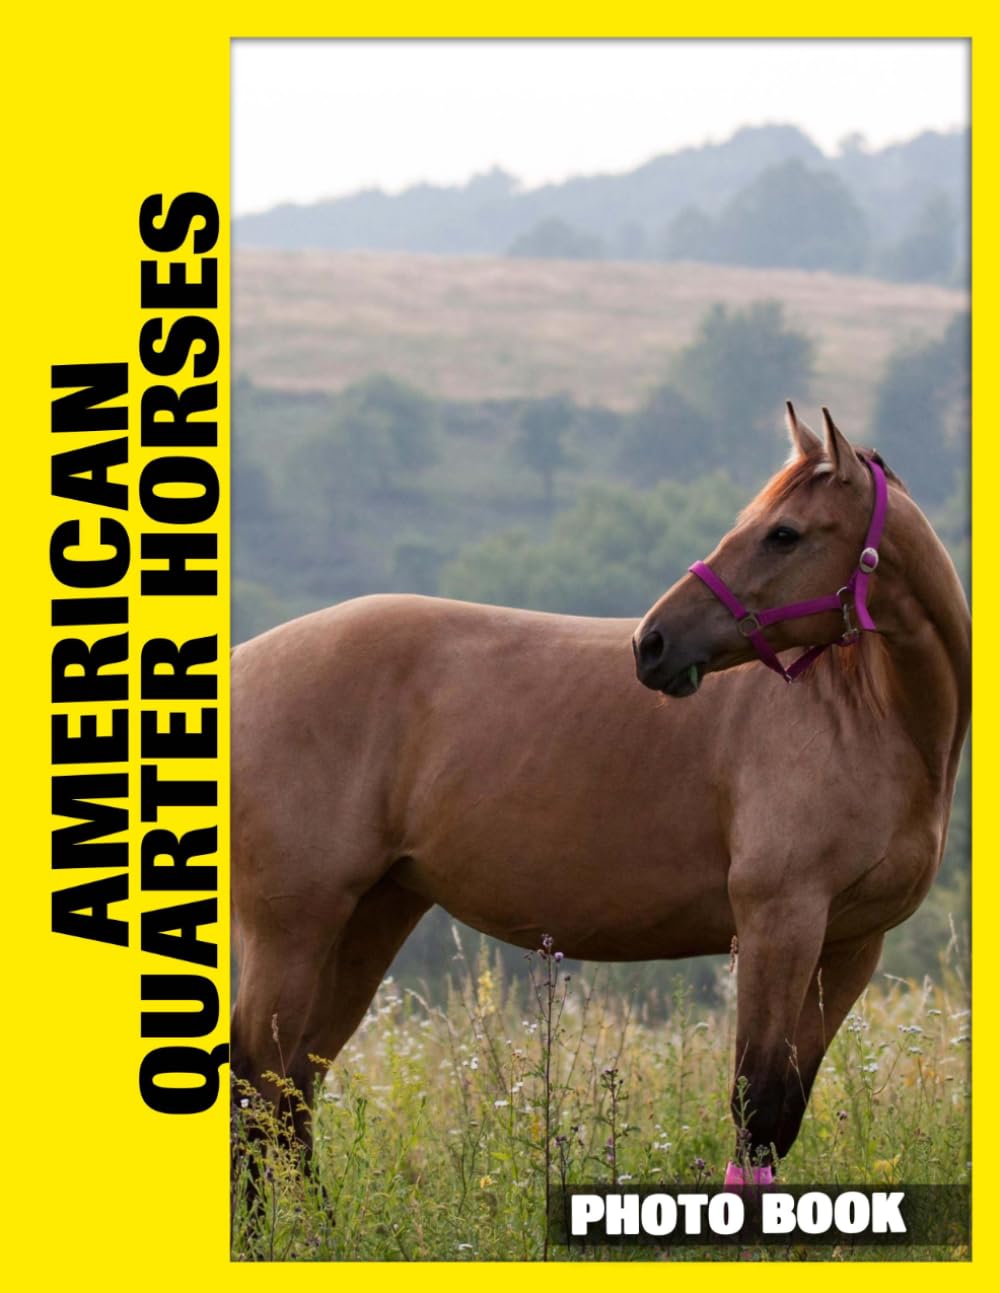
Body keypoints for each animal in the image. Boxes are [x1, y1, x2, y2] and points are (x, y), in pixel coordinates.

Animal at [231, 404, 969, 1189]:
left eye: (784, 533)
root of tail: (243, 662)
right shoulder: (780, 923)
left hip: (370, 918)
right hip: (293, 928)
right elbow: (755, 1112)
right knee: (255, 1091)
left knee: (290, 1093)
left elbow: (780, 1119)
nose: (653, 643)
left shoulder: (852, 945)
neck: (869, 717)